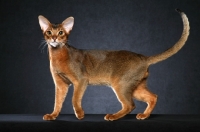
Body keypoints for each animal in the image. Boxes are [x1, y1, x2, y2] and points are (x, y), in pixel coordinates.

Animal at [38, 8, 190, 121]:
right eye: (49, 32)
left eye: (61, 32)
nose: (54, 38)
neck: (57, 55)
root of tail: (143, 57)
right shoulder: (61, 85)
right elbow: (57, 102)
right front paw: (53, 115)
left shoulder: (81, 80)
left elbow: (75, 99)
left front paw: (80, 114)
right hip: (135, 86)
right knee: (153, 97)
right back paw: (144, 115)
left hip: (121, 84)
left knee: (130, 105)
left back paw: (113, 116)